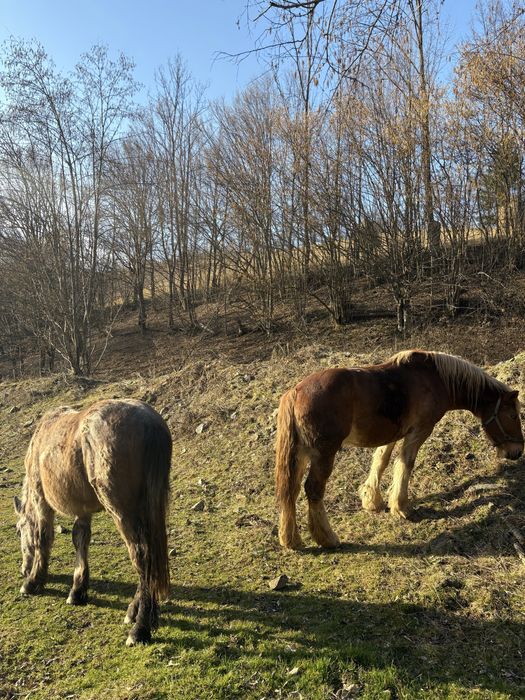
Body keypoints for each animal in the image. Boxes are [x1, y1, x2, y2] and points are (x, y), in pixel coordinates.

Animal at [13, 398, 172, 646]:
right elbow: (80, 540)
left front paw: (33, 581)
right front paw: (77, 590)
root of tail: (149, 422)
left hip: (122, 511)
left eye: (19, 530)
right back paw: (135, 611)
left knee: (141, 555)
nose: (23, 569)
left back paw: (140, 628)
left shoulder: (41, 500)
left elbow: (42, 538)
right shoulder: (83, 511)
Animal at [275, 349, 523, 550]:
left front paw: (372, 500)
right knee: (313, 490)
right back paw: (327, 539)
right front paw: (400, 506)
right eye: (513, 415)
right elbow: (405, 463)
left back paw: (291, 539)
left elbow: (381, 461)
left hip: (300, 455)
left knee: (291, 491)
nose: (517, 451)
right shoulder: (419, 431)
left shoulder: (393, 434)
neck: (435, 379)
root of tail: (295, 392)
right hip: (323, 455)